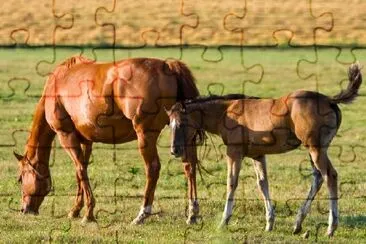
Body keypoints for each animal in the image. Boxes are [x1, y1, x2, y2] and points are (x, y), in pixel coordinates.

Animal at [13, 55, 200, 225]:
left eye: (20, 179)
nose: (24, 210)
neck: (57, 84)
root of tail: (168, 66)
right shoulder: (86, 141)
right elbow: (81, 172)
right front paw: (76, 210)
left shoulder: (66, 135)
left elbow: (80, 170)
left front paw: (88, 214)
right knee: (189, 166)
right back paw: (193, 213)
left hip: (145, 135)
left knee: (153, 168)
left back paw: (142, 214)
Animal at [167, 63, 362, 236]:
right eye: (170, 124)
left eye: (182, 123)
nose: (174, 150)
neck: (226, 112)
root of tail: (329, 100)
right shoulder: (258, 155)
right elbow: (262, 183)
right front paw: (269, 223)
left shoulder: (234, 152)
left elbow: (231, 182)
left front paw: (224, 221)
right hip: (313, 150)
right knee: (318, 178)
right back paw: (298, 223)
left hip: (316, 149)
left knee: (330, 176)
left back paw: (331, 227)